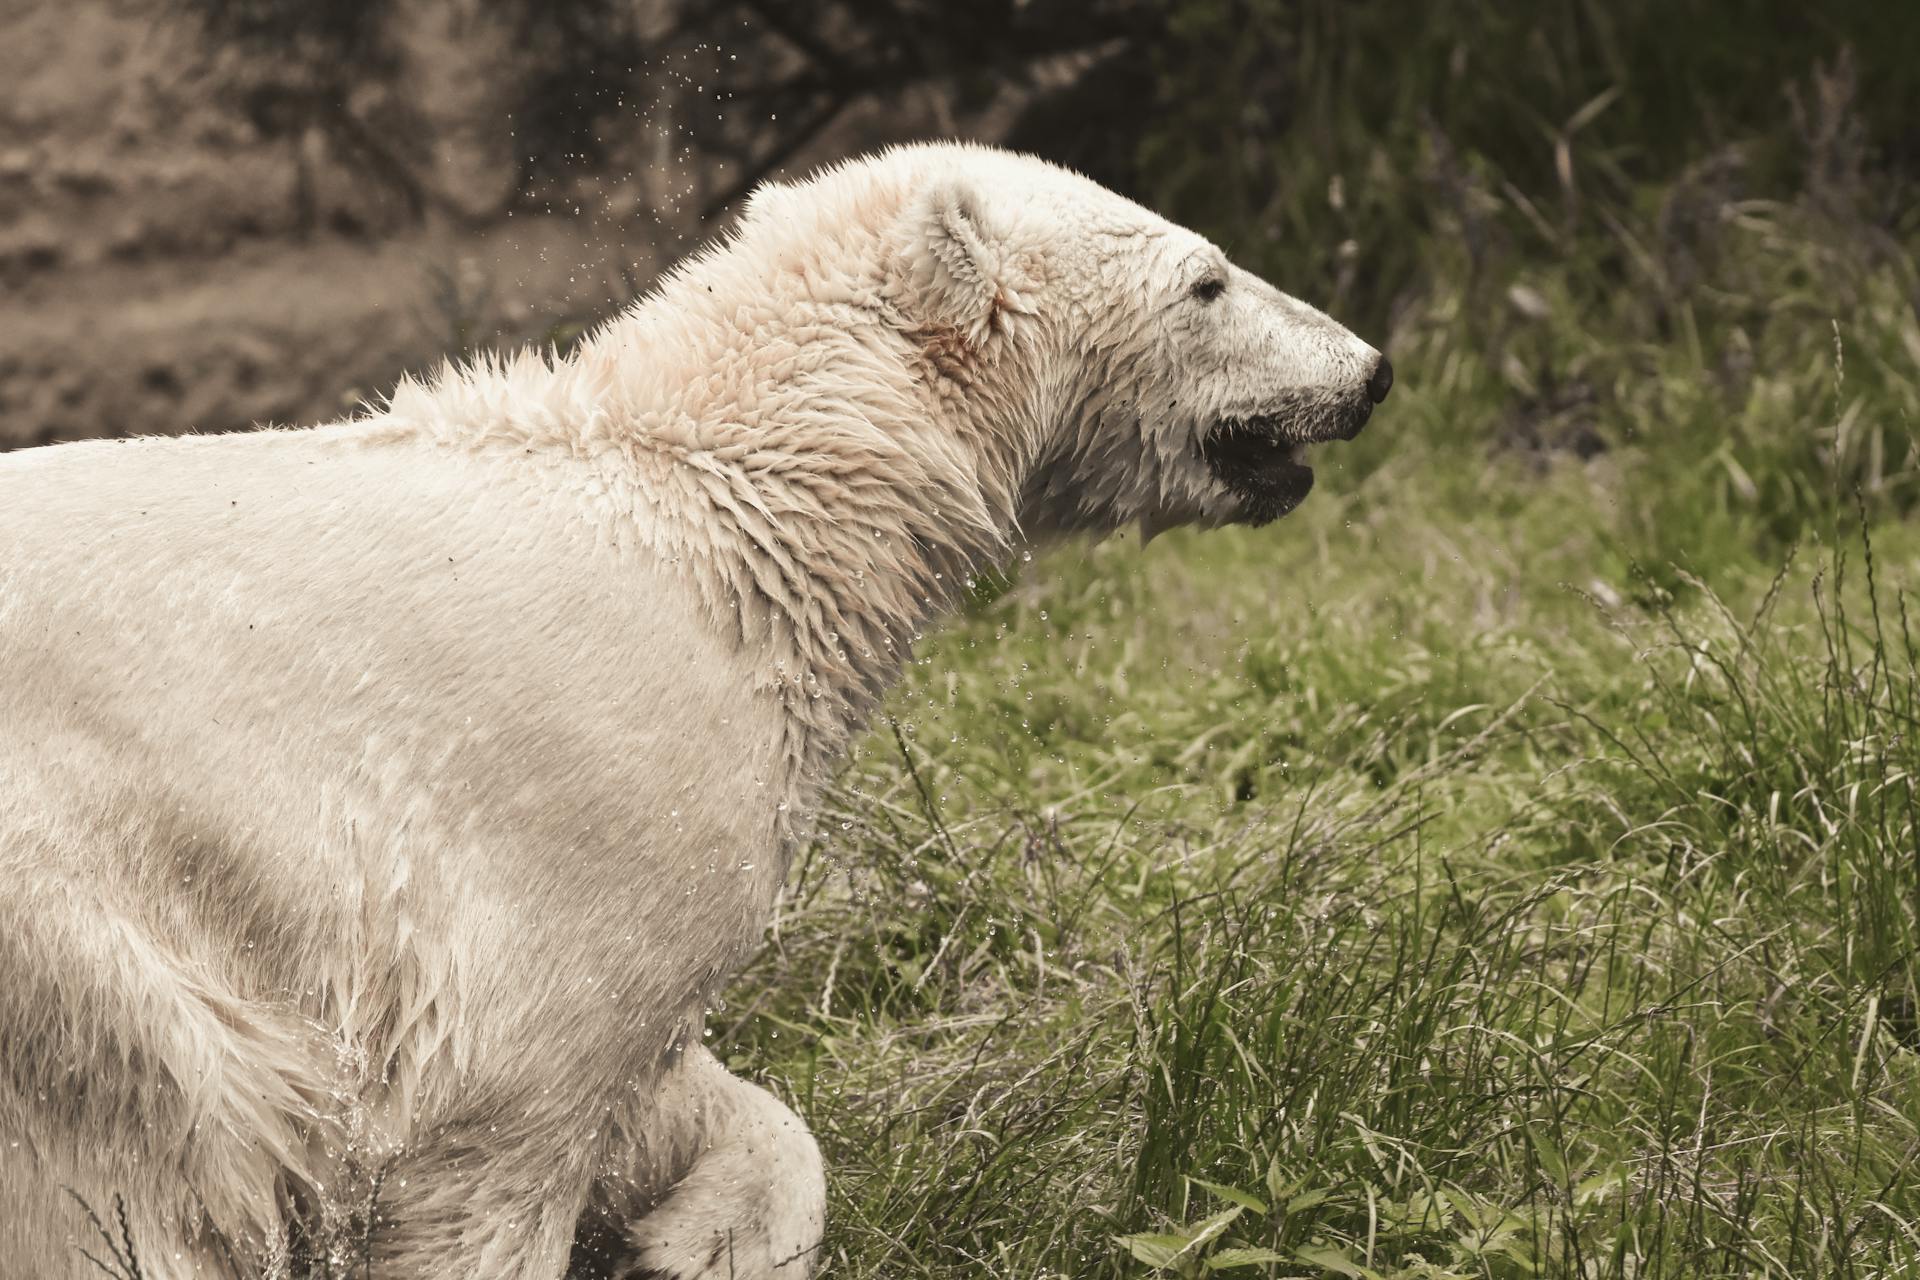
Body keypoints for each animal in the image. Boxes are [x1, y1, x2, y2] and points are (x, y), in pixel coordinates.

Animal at [0, 142, 1390, 1280]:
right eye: (1207, 279)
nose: (1369, 370)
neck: (743, 506)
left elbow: (670, 1094)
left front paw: (701, 1235)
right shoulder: (587, 811)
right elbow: (503, 1120)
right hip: (79, 923)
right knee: (163, 1145)